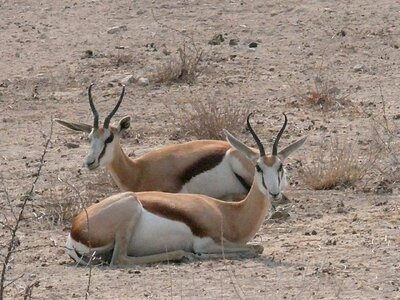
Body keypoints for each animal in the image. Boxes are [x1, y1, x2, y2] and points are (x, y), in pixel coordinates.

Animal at [66, 113, 306, 266]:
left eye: (280, 166)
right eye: (258, 167)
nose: (274, 193)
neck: (229, 214)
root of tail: (75, 229)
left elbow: (257, 248)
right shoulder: (207, 242)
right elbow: (253, 249)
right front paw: (199, 255)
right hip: (130, 209)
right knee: (120, 259)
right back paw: (183, 254)